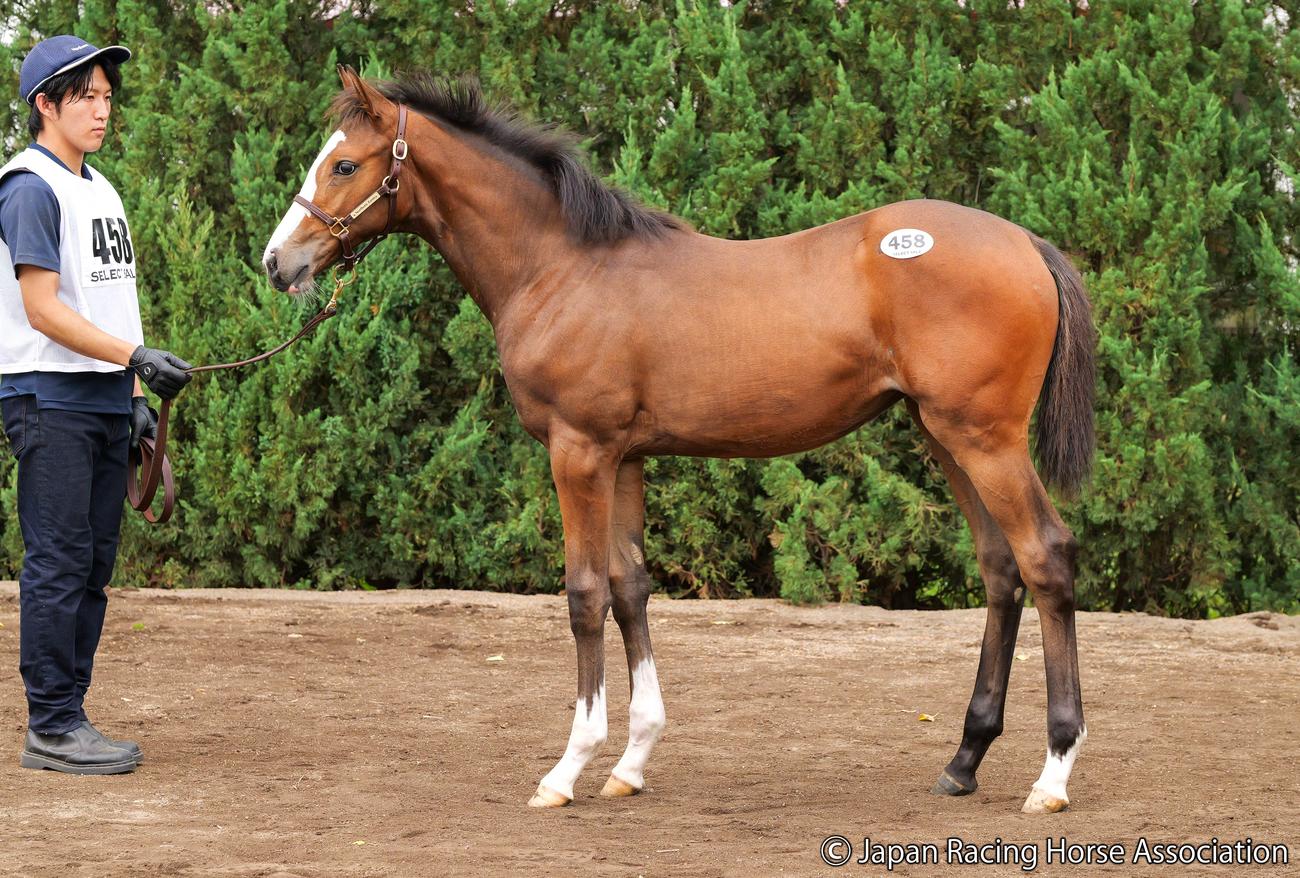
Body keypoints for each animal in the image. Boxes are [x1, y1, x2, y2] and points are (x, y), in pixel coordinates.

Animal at [262, 66, 1096, 814]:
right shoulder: (626, 457)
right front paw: (631, 763)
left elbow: (585, 595)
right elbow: (631, 589)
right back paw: (963, 761)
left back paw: (1054, 773)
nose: (278, 262)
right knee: (1000, 569)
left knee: (1045, 557)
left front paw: (567, 770)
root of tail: (1028, 243)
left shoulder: (578, 452)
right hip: (943, 437)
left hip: (984, 439)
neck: (563, 268)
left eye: (344, 164)